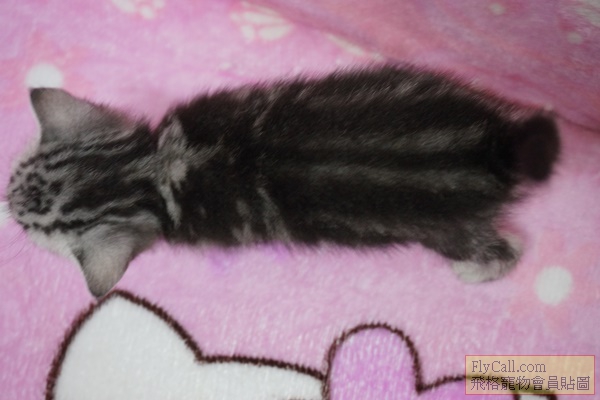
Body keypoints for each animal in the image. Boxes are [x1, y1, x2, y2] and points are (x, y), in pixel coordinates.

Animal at [7, 65, 560, 297]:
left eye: (28, 229)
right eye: (15, 178)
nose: (6, 200)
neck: (149, 172)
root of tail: (495, 147)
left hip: (448, 228)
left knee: (509, 251)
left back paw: (475, 272)